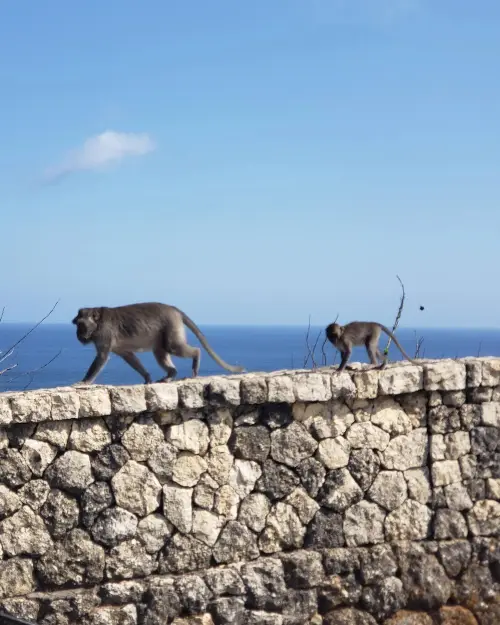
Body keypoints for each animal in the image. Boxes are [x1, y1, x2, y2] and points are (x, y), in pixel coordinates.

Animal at [73, 302, 246, 386]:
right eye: (77, 324)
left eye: (81, 325)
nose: (78, 335)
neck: (98, 322)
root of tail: (174, 309)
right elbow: (129, 356)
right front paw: (147, 377)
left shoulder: (104, 334)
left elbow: (102, 357)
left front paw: (85, 381)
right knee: (160, 351)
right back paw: (170, 375)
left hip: (171, 326)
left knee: (174, 347)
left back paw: (196, 357)